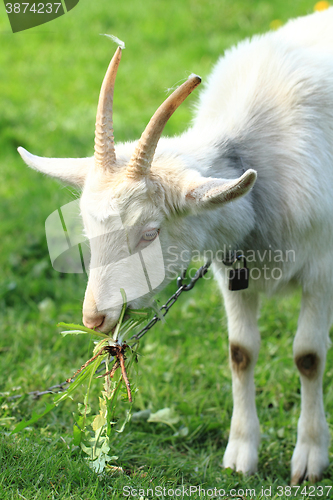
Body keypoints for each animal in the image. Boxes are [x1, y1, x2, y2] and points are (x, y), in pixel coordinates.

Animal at [18, 8, 332, 484]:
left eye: (150, 232)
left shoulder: (320, 268)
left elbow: (309, 356)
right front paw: (241, 453)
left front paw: (310, 457)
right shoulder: (232, 272)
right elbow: (241, 353)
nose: (94, 318)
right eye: (87, 230)